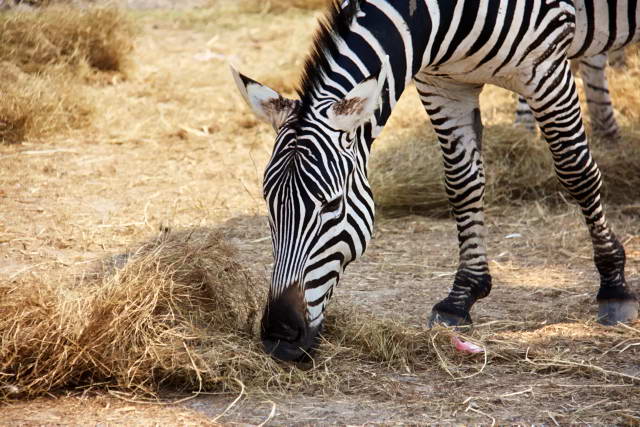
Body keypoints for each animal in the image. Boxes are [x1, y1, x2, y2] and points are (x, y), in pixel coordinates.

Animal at [232, 0, 636, 362]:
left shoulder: (546, 65)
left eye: (332, 205)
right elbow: (462, 183)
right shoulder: (441, 83)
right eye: (269, 204)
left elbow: (576, 171)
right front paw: (462, 297)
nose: (279, 335)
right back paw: (608, 133)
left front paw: (614, 285)